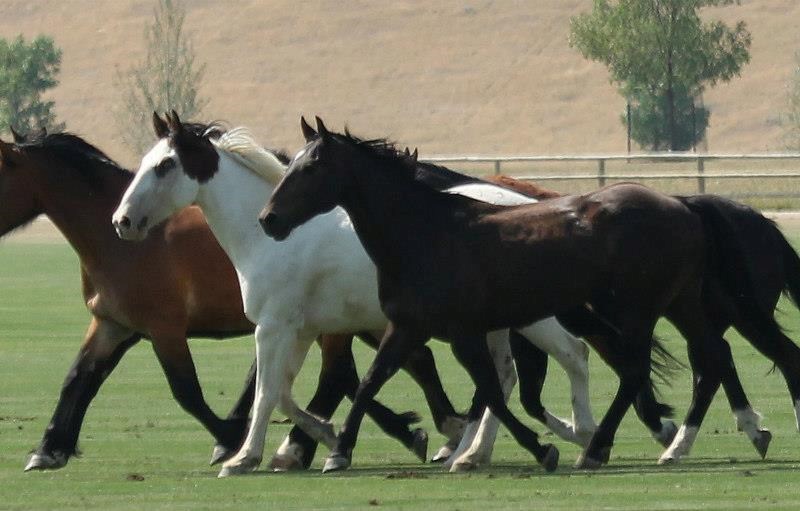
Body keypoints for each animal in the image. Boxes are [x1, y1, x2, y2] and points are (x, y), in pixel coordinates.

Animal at [0, 127, 462, 472]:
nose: (124, 222)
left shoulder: (164, 328)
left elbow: (187, 392)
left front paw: (230, 441)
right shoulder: (112, 324)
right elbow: (78, 378)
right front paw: (49, 448)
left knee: (347, 373)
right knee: (394, 365)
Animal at [114, 111, 664, 476]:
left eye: (165, 166)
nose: (123, 222)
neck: (266, 241)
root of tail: (524, 199)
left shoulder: (275, 328)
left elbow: (272, 391)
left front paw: (248, 455)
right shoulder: (303, 330)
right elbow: (292, 391)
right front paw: (322, 438)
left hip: (533, 318)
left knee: (572, 357)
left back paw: (582, 435)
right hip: (497, 325)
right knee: (506, 379)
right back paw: (477, 451)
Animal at [260, 118, 780, 474]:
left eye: (310, 167)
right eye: (294, 165)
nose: (269, 219)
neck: (428, 233)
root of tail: (680, 203)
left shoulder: (456, 332)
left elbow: (485, 391)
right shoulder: (417, 329)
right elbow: (381, 382)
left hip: (635, 312)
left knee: (640, 370)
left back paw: (600, 447)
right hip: (679, 303)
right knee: (712, 356)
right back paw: (695, 440)